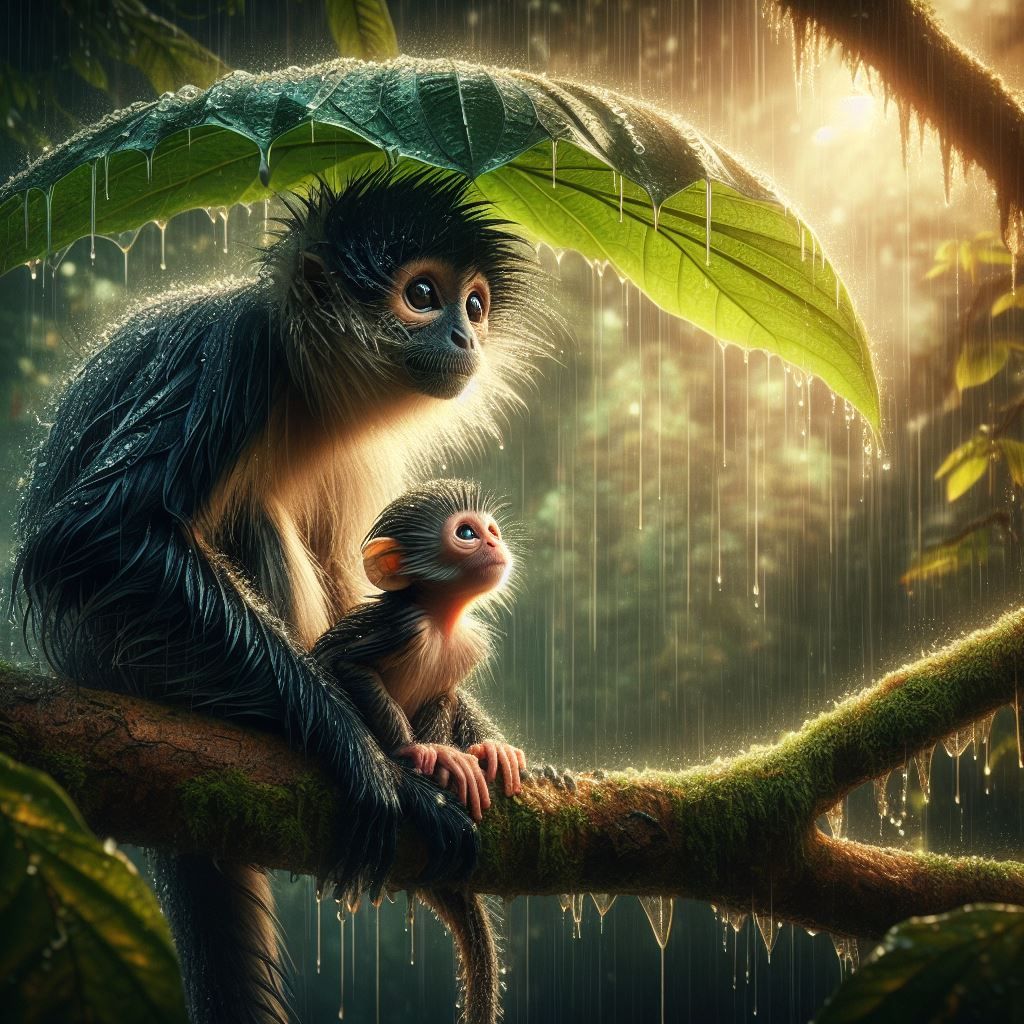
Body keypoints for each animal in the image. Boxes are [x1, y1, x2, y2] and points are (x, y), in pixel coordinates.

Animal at [313, 479, 526, 1024]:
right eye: (467, 534)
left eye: (489, 529)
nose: (493, 541)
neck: (441, 618)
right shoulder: (402, 623)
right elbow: (346, 666)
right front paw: (419, 755)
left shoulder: (468, 643)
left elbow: (446, 696)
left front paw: (483, 749)